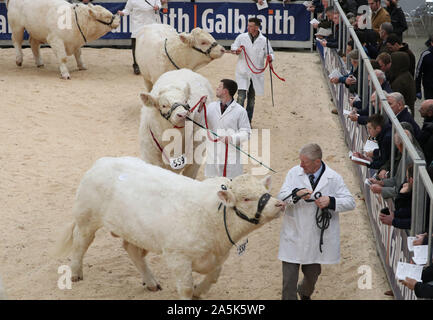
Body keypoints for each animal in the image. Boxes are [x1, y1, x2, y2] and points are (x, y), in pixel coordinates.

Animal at [53, 158, 284, 300]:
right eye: (246, 198)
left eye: (265, 191)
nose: (279, 204)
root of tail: (101, 162)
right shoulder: (177, 256)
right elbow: (186, 287)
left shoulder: (218, 256)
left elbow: (214, 276)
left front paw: (200, 290)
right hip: (87, 218)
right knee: (80, 242)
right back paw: (75, 273)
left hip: (136, 232)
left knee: (132, 250)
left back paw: (151, 282)